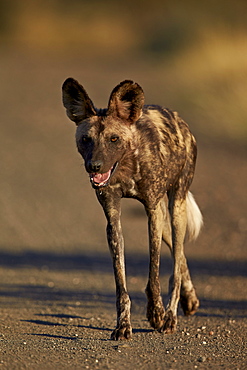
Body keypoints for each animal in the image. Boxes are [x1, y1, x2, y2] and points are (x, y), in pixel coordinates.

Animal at [61, 79, 203, 342]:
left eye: (114, 139)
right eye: (86, 139)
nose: (94, 166)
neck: (126, 163)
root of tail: (179, 119)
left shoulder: (152, 211)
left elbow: (154, 271)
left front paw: (156, 313)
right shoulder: (113, 218)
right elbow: (121, 283)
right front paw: (123, 326)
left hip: (175, 206)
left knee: (176, 262)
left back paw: (170, 317)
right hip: (166, 219)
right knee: (179, 254)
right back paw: (189, 299)